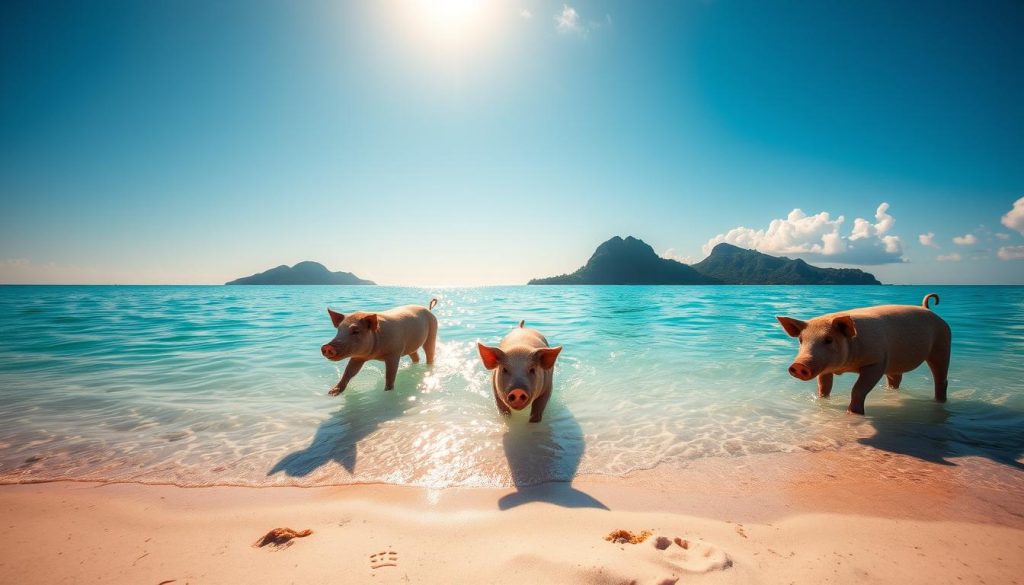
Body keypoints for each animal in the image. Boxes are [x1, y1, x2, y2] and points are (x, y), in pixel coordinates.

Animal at [776, 293, 951, 415]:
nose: (799, 365)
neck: (845, 367)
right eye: (801, 340)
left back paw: (940, 402)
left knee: (941, 378)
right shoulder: (825, 368)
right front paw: (822, 400)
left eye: (828, 340)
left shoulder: (877, 361)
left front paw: (853, 414)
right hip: (896, 361)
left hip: (942, 343)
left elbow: (858, 389)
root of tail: (927, 308)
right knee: (895, 378)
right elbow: (824, 387)